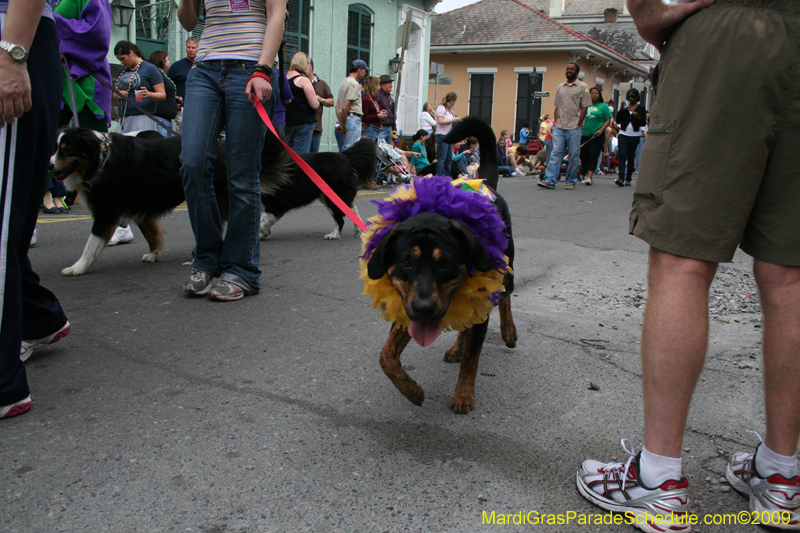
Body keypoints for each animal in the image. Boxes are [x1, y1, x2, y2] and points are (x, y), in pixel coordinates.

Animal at [368, 117, 520, 416]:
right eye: (406, 262)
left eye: (446, 263)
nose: (424, 308)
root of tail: (484, 180)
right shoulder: (406, 308)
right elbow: (386, 357)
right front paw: (411, 390)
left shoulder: (480, 302)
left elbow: (472, 360)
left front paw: (463, 395)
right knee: (464, 322)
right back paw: (457, 347)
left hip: (505, 266)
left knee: (506, 297)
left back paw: (508, 331)